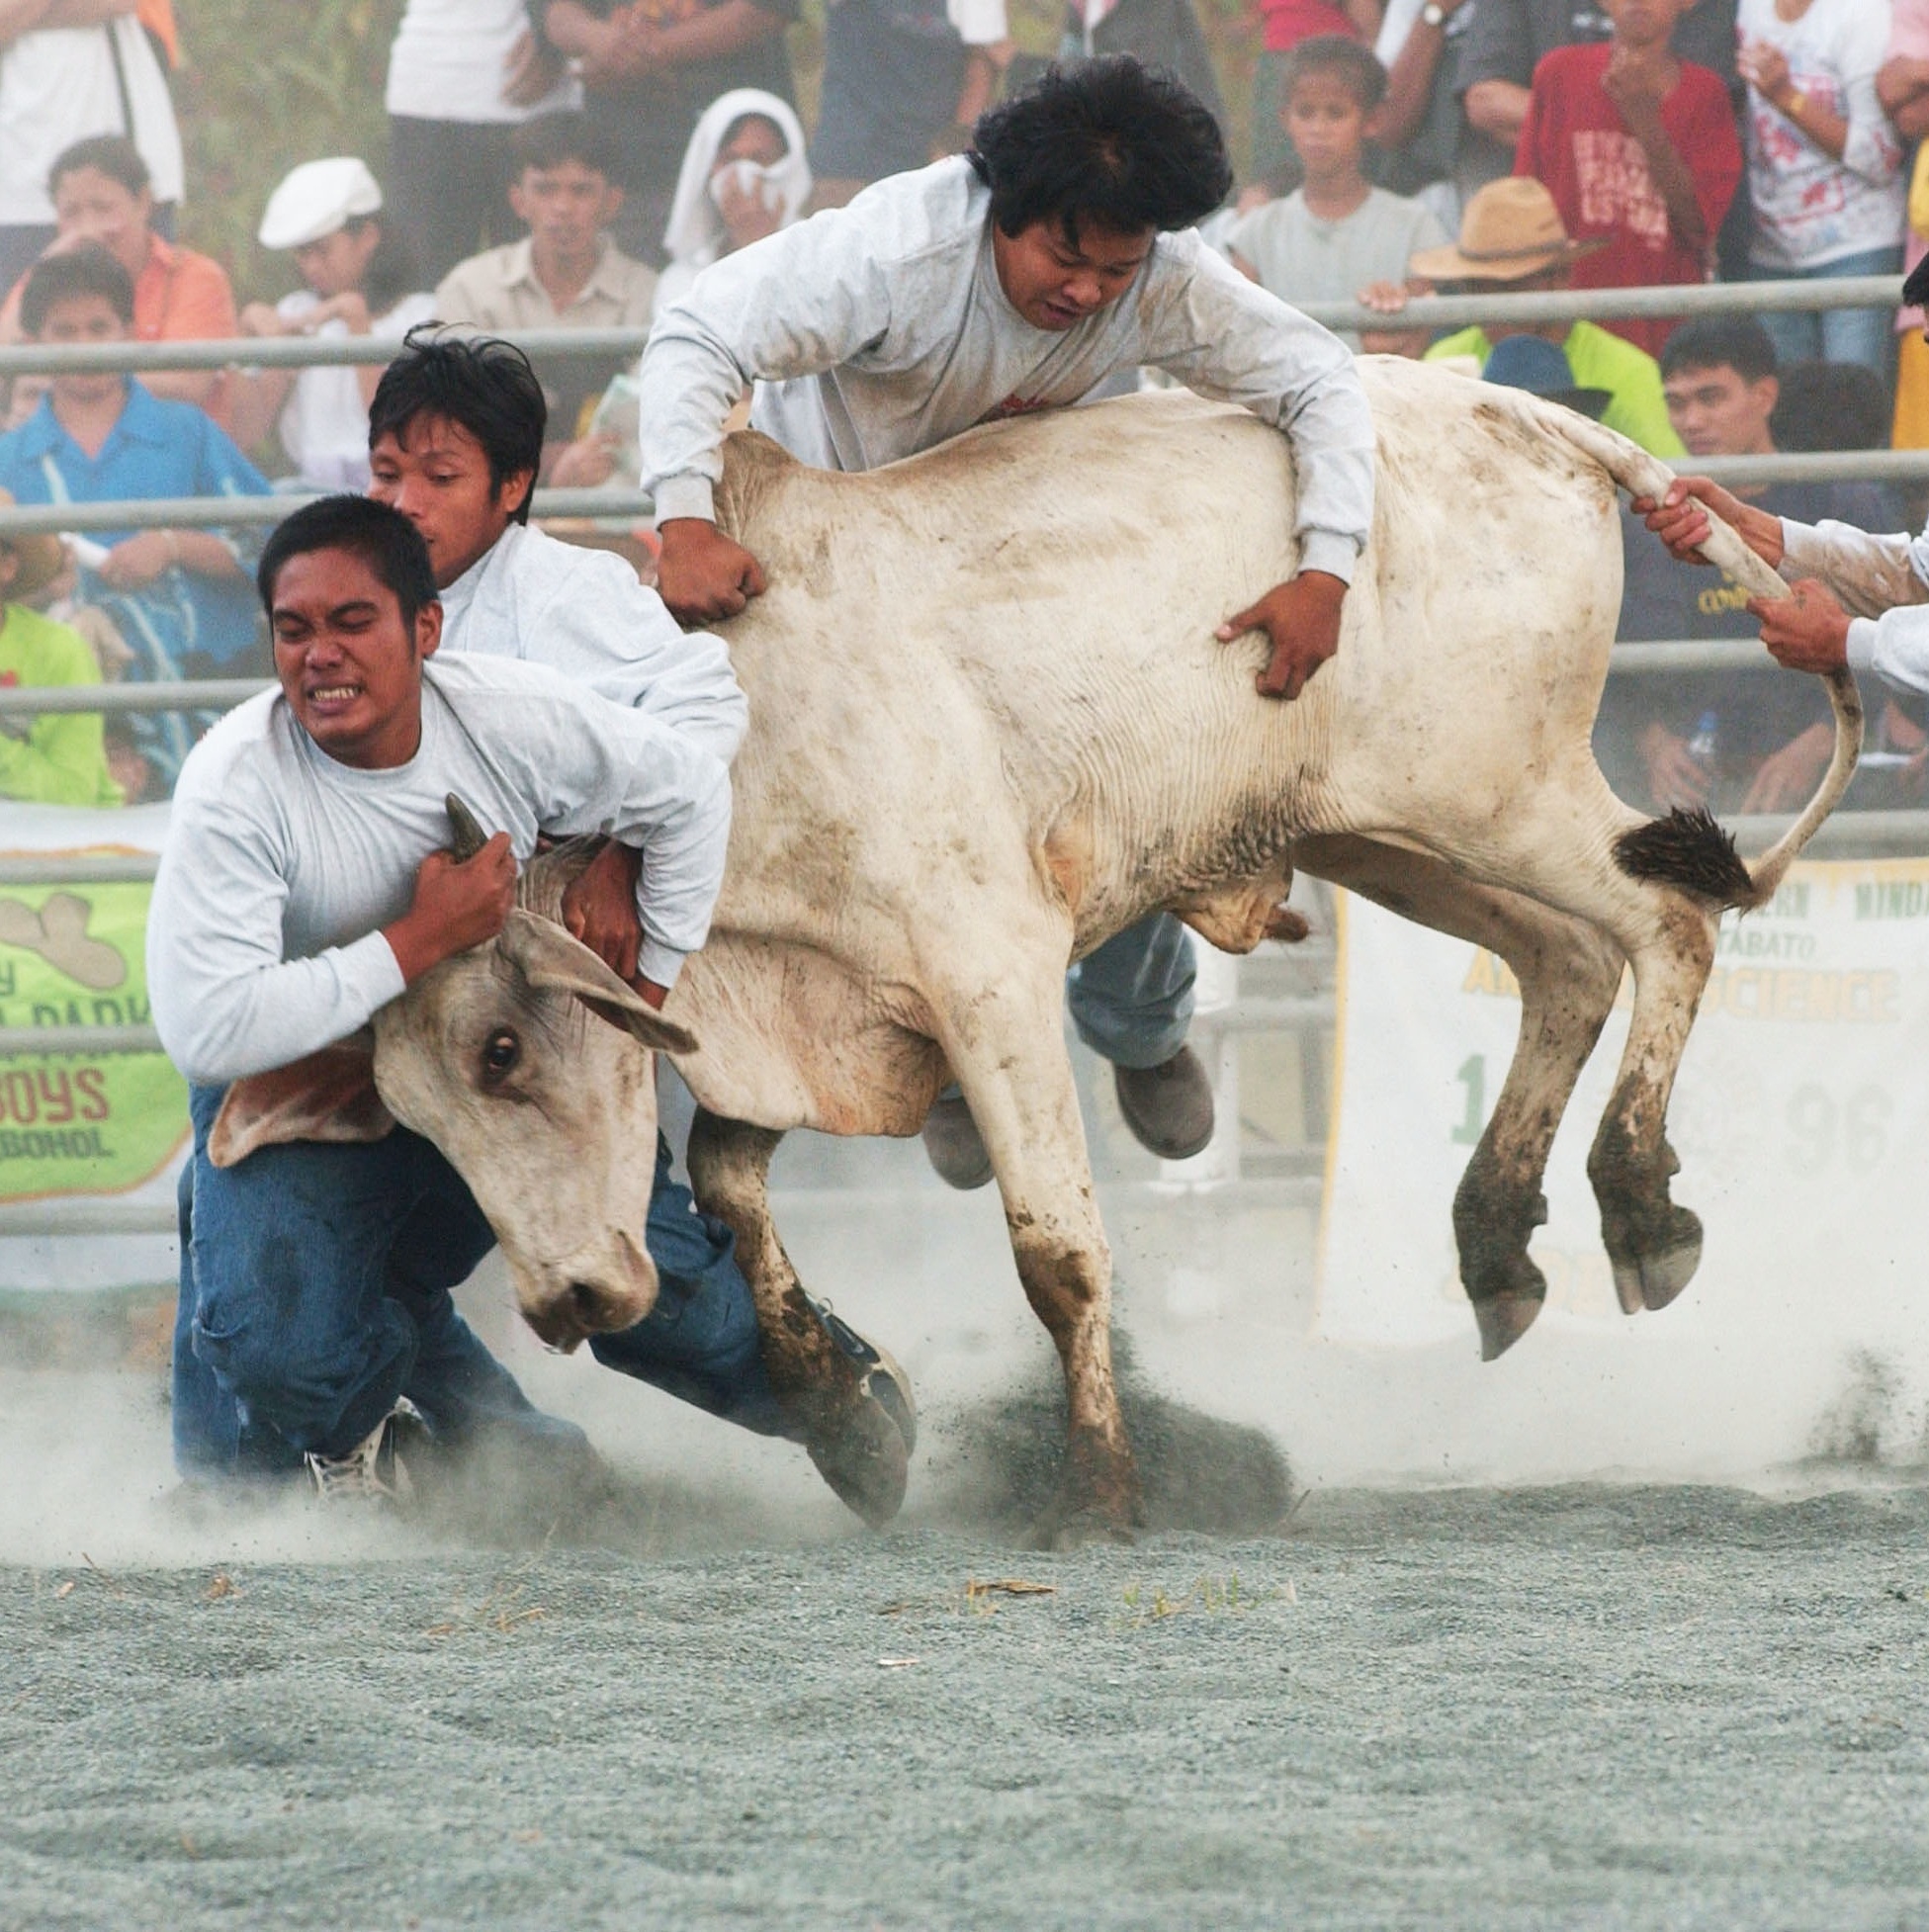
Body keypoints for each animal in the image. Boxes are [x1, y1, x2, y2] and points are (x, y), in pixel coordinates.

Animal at [369, 359, 1863, 1537]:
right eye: (410, 1113)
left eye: (499, 1048)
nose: (566, 1299)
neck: (735, 744)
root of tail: (1520, 415)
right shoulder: (809, 1014)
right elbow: (735, 1189)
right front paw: (845, 1419)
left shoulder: (990, 977)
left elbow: (1057, 1254)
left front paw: (1095, 1488)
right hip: (1384, 836)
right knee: (1567, 963)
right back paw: (1495, 1247)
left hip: (1503, 799)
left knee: (1667, 922)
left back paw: (1639, 1204)